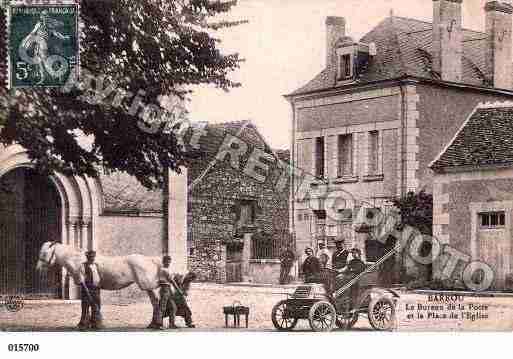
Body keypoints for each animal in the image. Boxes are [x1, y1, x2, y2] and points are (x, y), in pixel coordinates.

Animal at [35, 242, 176, 330]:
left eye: (44, 253)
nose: (38, 269)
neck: (79, 261)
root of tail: (151, 260)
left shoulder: (85, 286)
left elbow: (85, 305)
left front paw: (82, 324)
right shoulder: (88, 287)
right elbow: (88, 305)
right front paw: (89, 324)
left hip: (148, 287)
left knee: (157, 302)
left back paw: (156, 324)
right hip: (149, 288)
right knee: (155, 303)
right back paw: (153, 324)